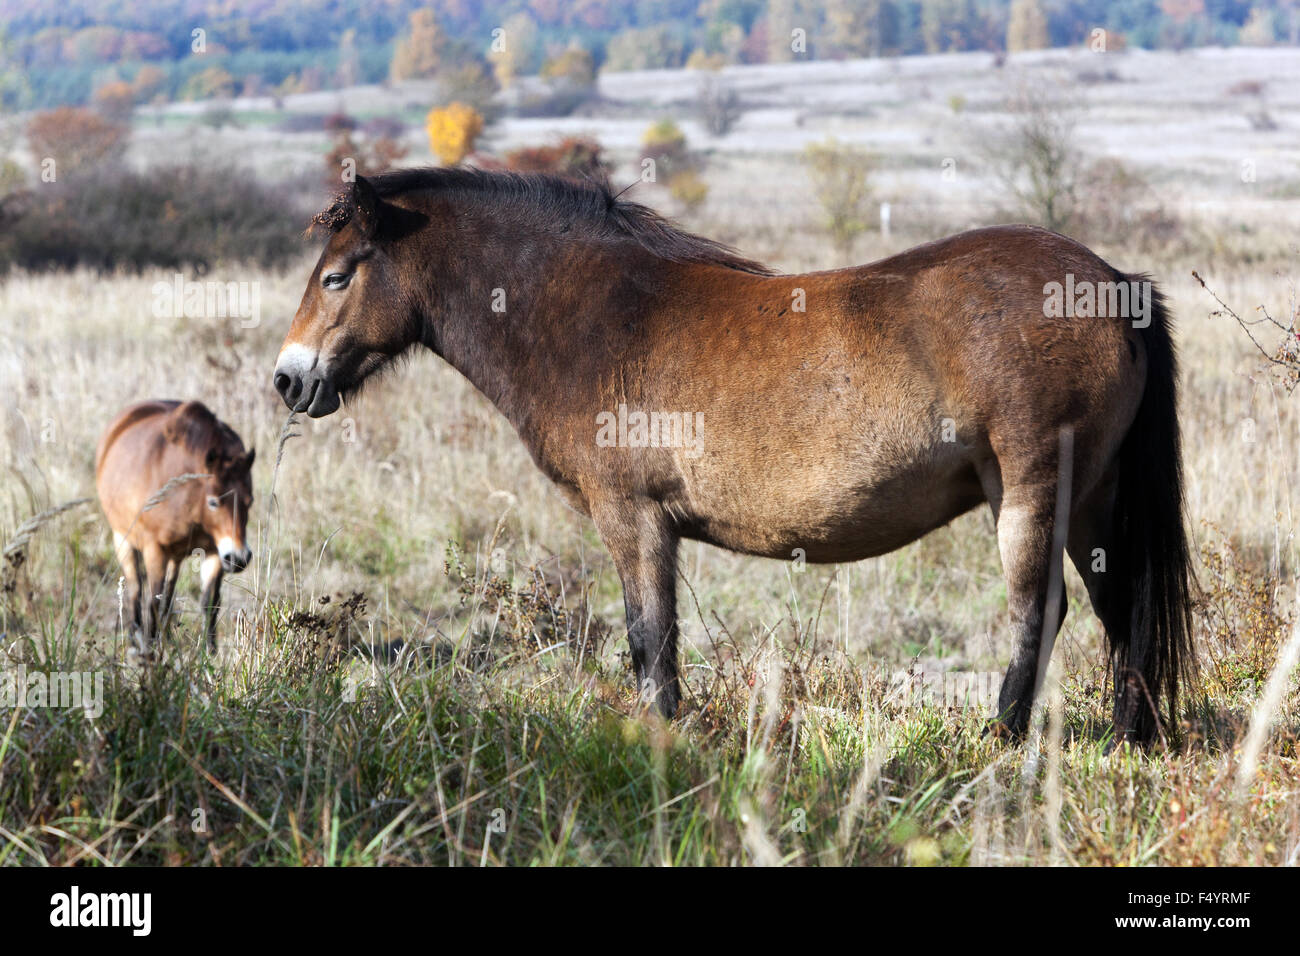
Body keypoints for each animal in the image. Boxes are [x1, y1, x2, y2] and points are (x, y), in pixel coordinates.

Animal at [96, 400, 253, 655]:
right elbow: (152, 600)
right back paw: (136, 640)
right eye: (213, 502)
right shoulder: (154, 550)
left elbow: (209, 602)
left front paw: (211, 653)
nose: (239, 558)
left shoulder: (215, 552)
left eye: (249, 501)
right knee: (136, 591)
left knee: (168, 596)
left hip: (175, 557)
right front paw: (149, 651)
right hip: (123, 540)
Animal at [276, 171, 1196, 749]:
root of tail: (1111, 282)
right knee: (1122, 610)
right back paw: (1128, 743)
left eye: (337, 276)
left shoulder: (634, 521)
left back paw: (998, 744)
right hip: (1091, 500)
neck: (596, 313)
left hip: (1034, 492)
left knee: (1041, 616)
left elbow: (651, 644)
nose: (288, 378)